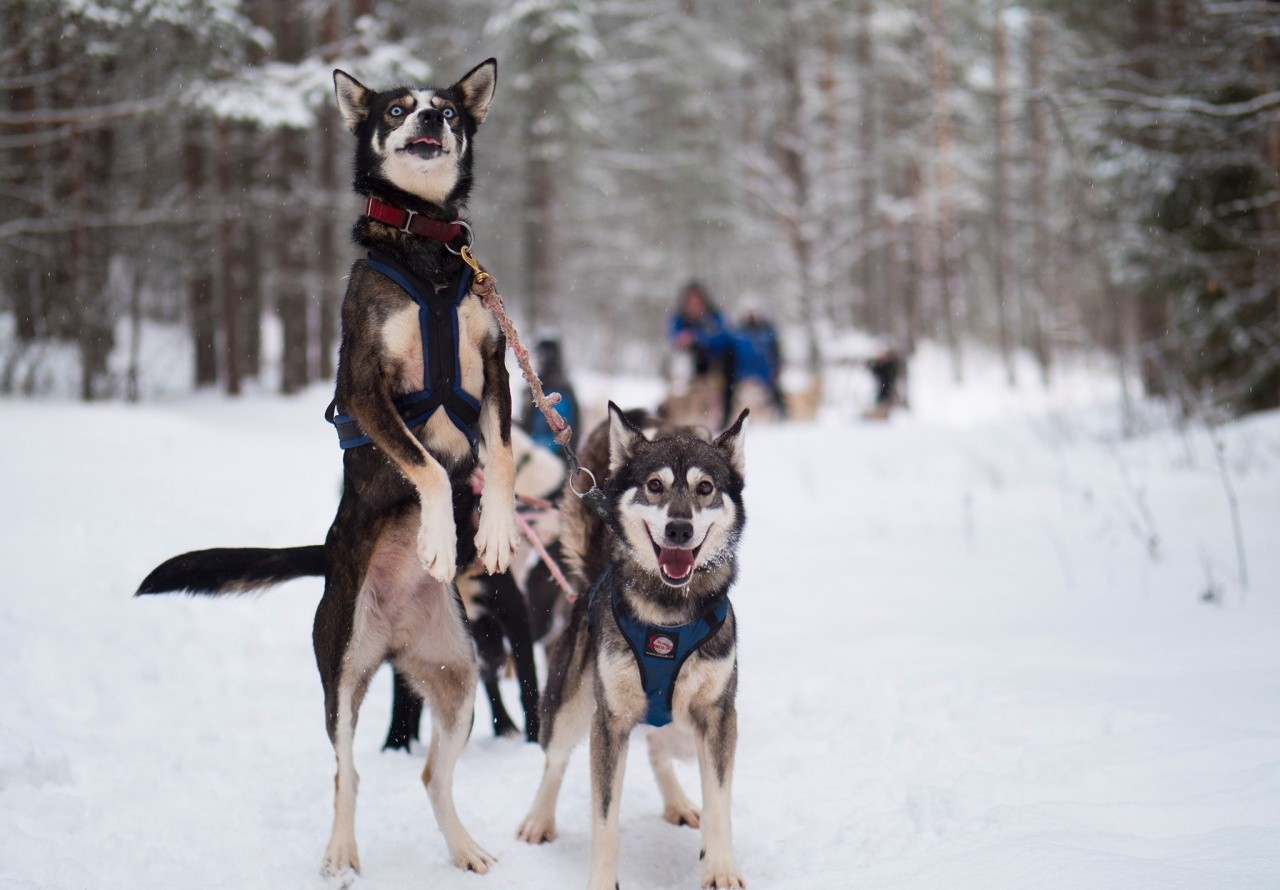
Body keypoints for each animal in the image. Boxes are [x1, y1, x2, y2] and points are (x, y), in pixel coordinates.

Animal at [137, 59, 517, 881]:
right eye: (398, 109)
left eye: (447, 110)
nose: (429, 121)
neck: (425, 250)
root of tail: (392, 636)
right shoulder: (365, 390)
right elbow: (427, 468)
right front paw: (439, 538)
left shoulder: (496, 370)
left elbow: (498, 457)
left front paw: (496, 532)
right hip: (340, 672)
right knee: (348, 770)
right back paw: (341, 851)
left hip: (459, 680)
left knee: (432, 773)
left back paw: (463, 846)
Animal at [514, 404, 747, 890]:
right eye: (654, 485)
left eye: (705, 488)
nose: (679, 529)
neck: (669, 616)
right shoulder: (610, 721)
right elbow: (604, 818)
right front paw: (603, 882)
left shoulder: (718, 714)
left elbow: (718, 799)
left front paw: (720, 867)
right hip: (569, 705)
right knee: (555, 760)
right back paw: (539, 820)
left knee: (662, 746)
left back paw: (677, 801)